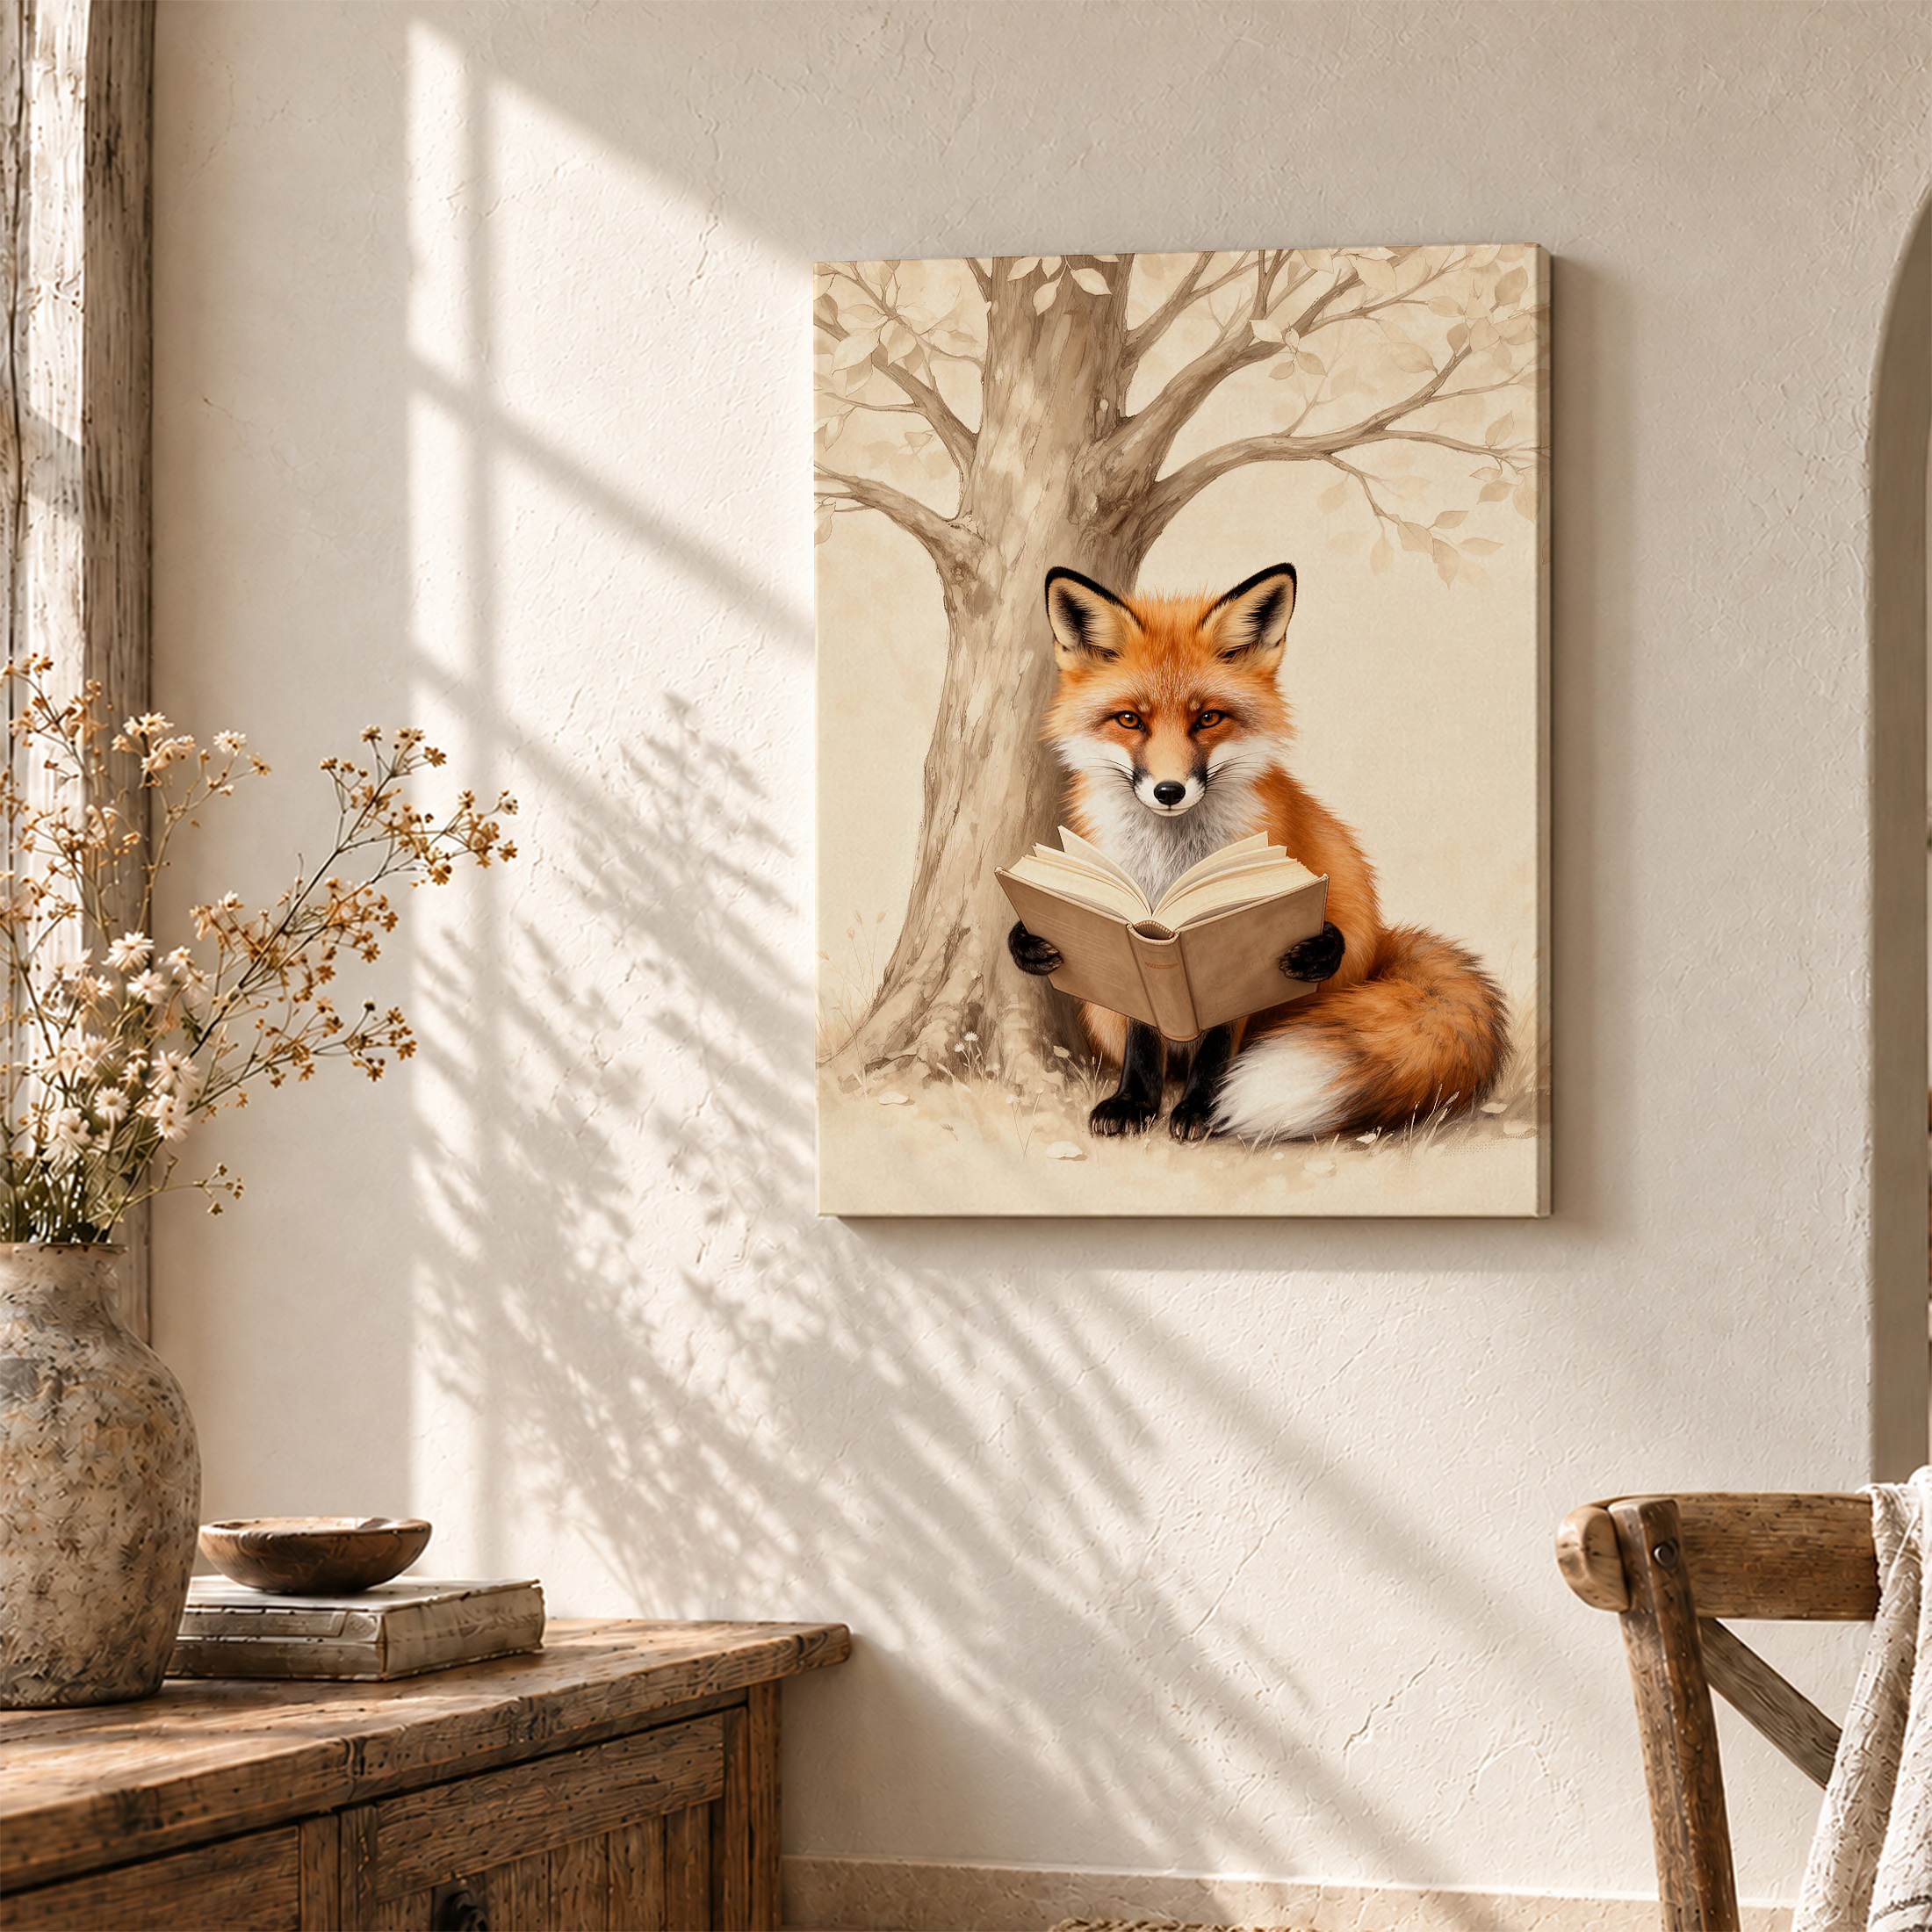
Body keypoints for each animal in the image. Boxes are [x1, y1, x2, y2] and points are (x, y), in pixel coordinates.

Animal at [1007, 561, 1508, 1143]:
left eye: (1208, 718)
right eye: (1130, 719)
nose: (1169, 791)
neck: (1174, 863)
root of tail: (1383, 947)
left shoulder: (1228, 936)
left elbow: (1219, 1042)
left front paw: (1202, 1109)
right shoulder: (1135, 924)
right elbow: (1141, 1032)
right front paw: (1133, 1102)